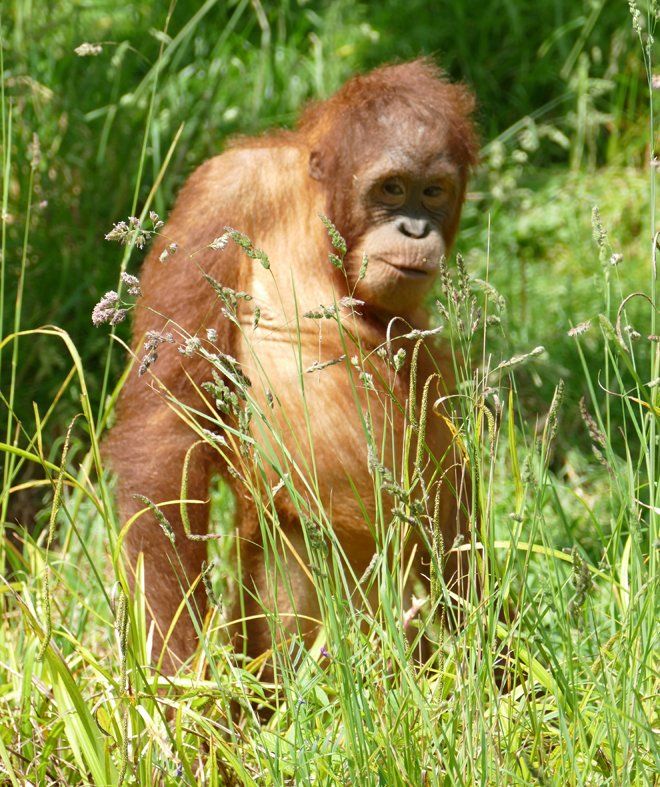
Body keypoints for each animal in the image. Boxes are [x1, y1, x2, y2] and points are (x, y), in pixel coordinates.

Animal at [106, 58, 478, 674]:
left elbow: (443, 470)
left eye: (433, 192)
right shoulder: (221, 192)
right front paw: (178, 675)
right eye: (392, 188)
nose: (415, 229)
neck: (322, 215)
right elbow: (167, 426)